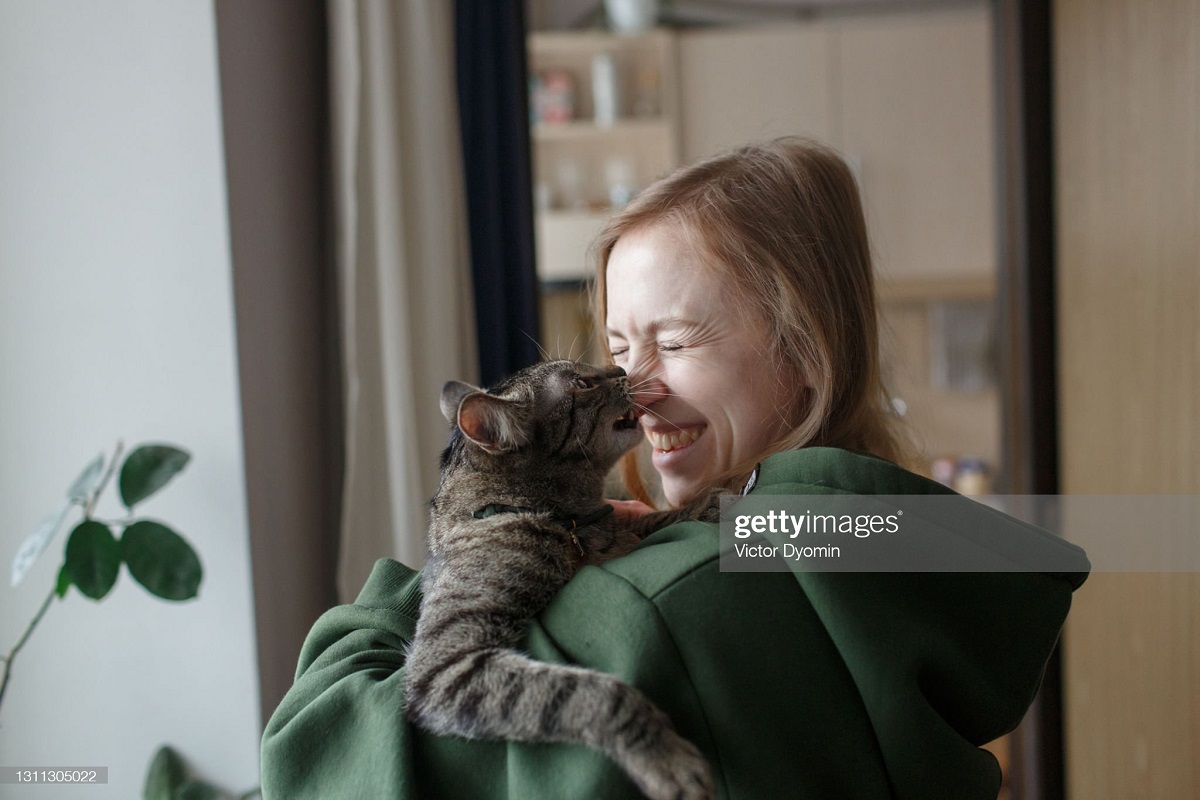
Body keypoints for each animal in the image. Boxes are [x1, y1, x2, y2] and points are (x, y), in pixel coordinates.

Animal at [408, 362, 715, 800]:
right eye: (583, 383)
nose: (620, 367)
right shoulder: (446, 663)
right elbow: (597, 694)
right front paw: (666, 759)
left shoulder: (623, 526)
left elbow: (658, 519)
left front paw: (717, 502)